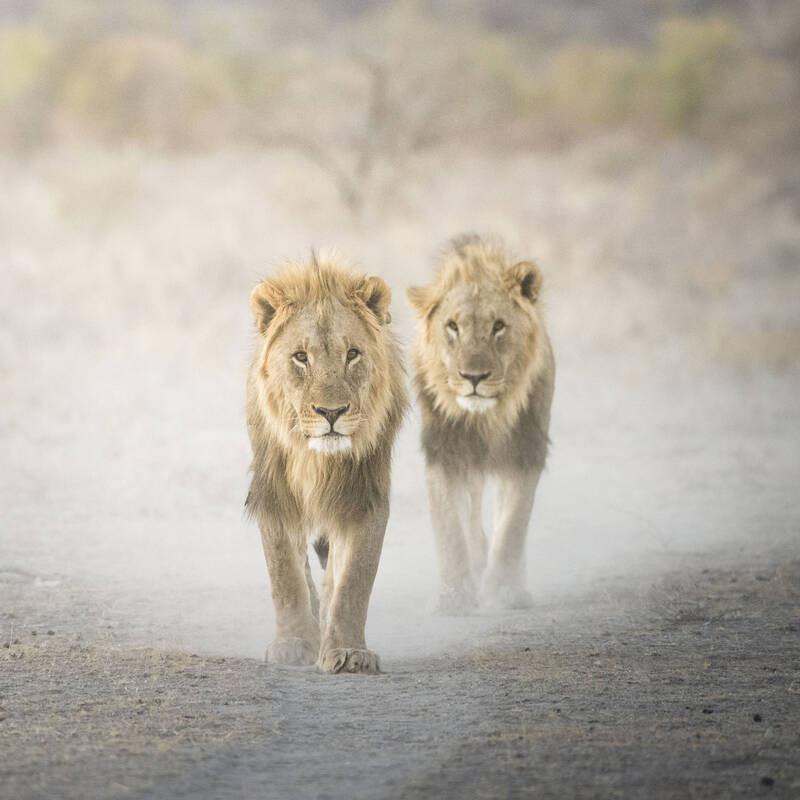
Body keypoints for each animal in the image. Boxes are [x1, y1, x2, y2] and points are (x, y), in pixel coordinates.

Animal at [244, 253, 406, 672]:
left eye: (352, 354)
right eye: (301, 357)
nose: (331, 413)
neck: (318, 461)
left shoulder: (365, 495)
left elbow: (355, 579)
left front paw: (349, 652)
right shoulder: (273, 492)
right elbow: (284, 573)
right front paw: (293, 644)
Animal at [410, 234, 552, 616]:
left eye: (498, 325)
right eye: (452, 326)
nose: (473, 377)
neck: (486, 417)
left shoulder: (524, 452)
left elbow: (513, 525)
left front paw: (505, 591)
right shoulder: (444, 454)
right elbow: (450, 530)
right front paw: (453, 596)